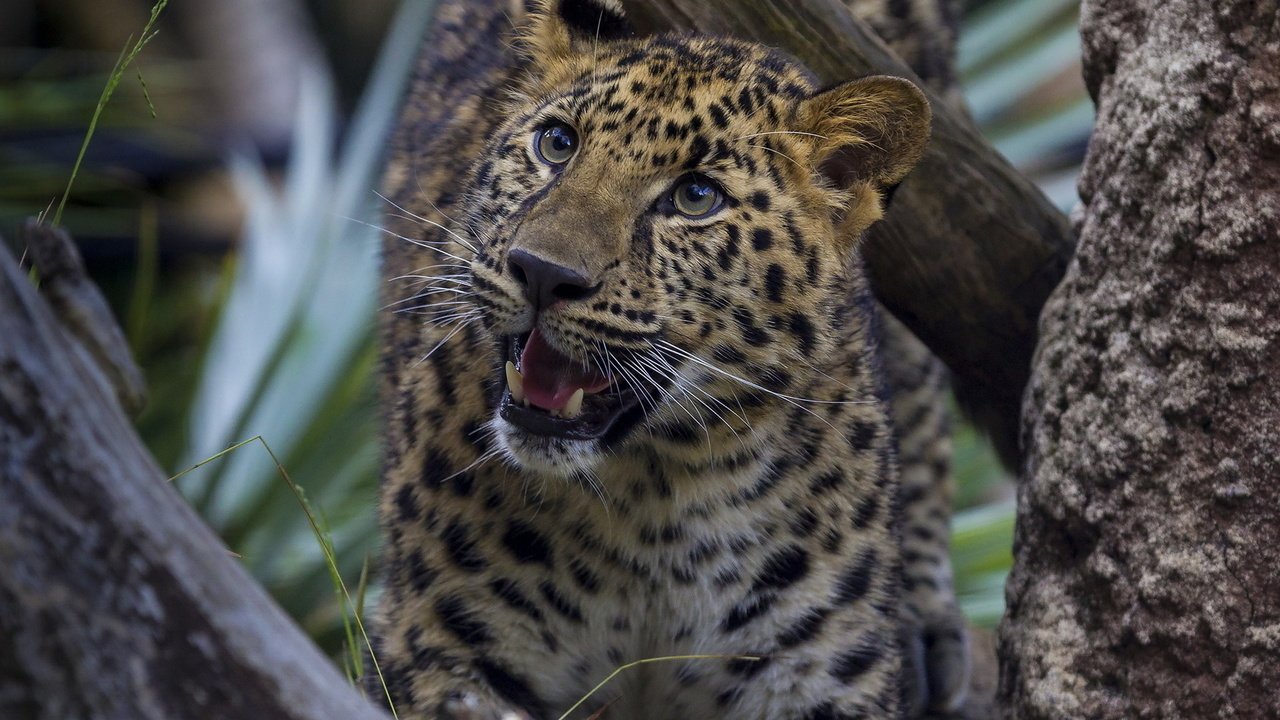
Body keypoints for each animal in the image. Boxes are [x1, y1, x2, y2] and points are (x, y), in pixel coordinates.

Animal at [371, 1, 967, 717]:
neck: (653, 501)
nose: (541, 272)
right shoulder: (446, 651)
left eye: (696, 198)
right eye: (557, 143)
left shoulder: (812, 677)